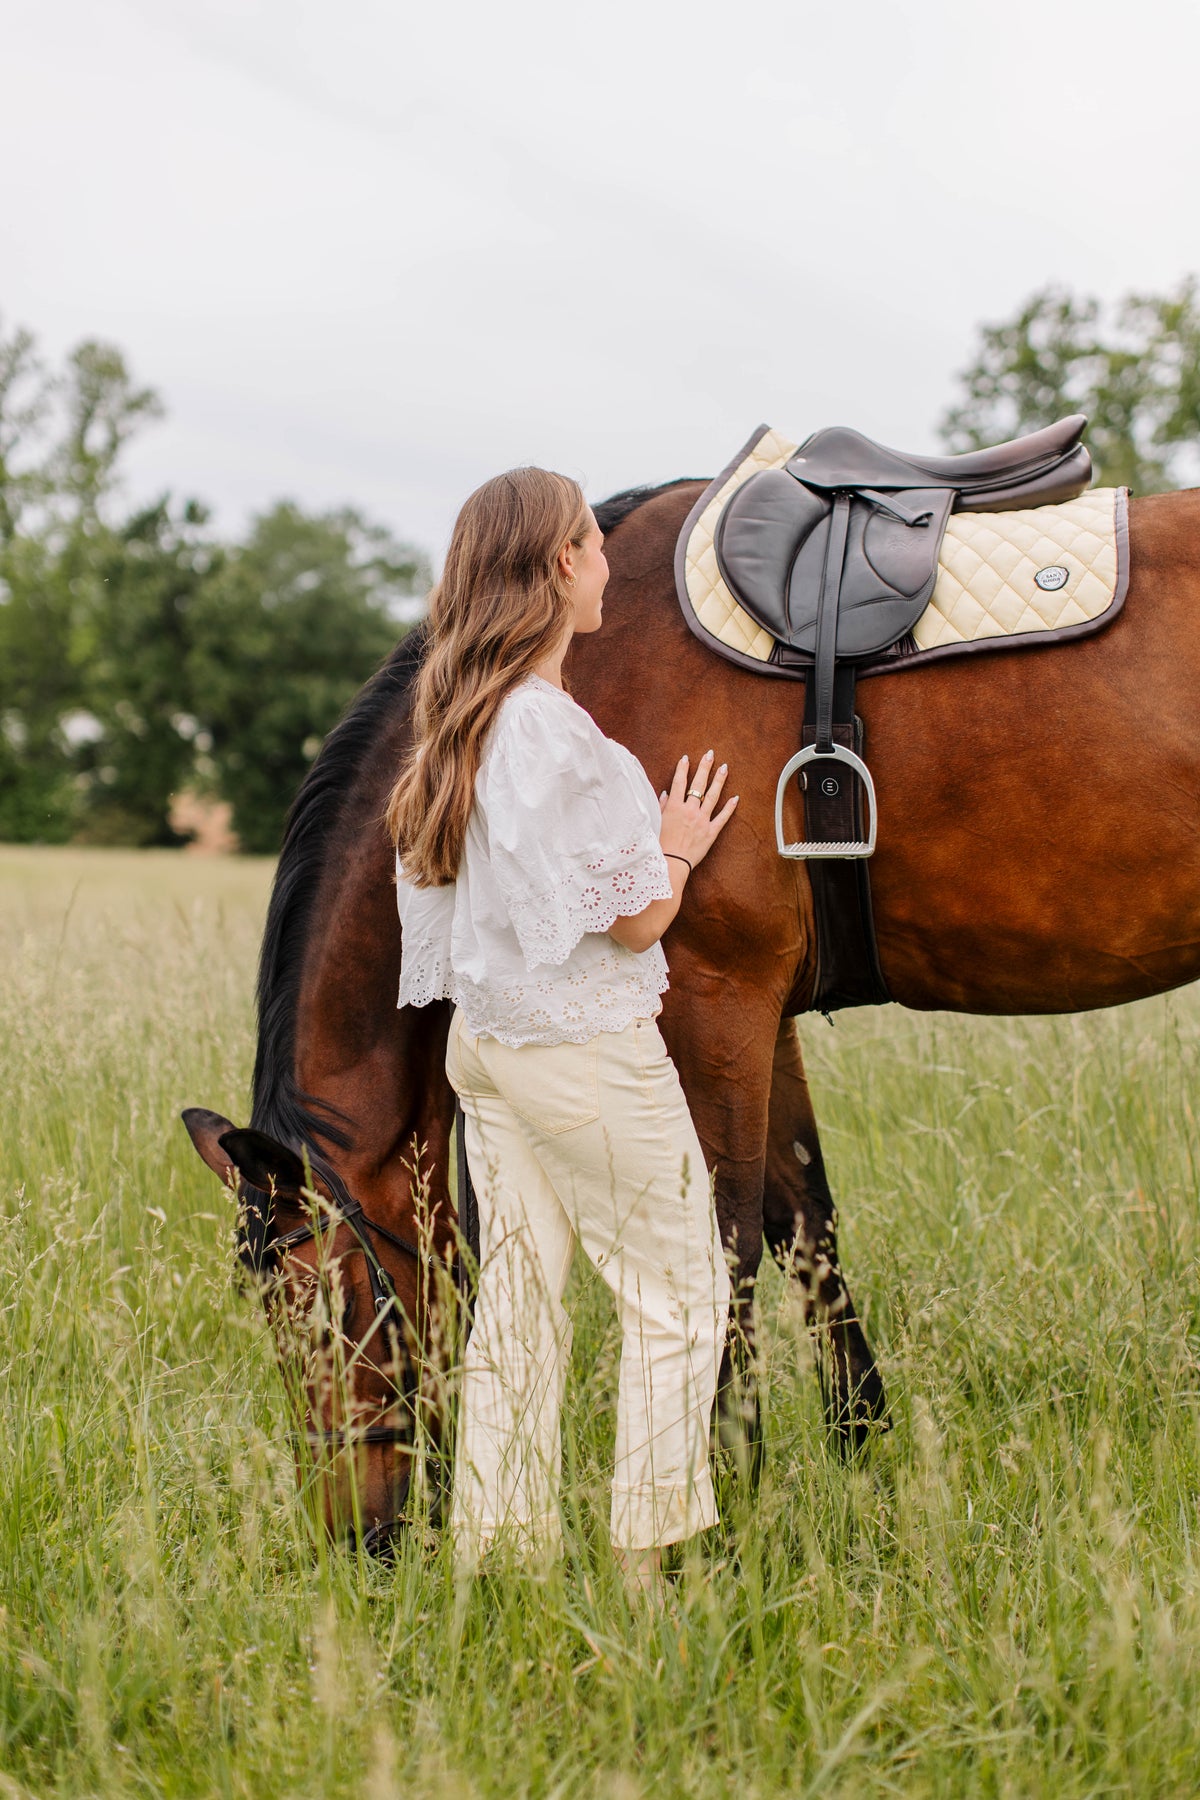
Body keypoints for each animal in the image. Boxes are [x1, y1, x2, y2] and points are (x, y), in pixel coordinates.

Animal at [185, 473, 1200, 1548]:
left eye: (326, 1311)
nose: (356, 1534)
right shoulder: (760, 1014)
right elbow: (806, 1225)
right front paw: (858, 1449)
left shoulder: (713, 1000)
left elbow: (722, 1247)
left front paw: (713, 1500)